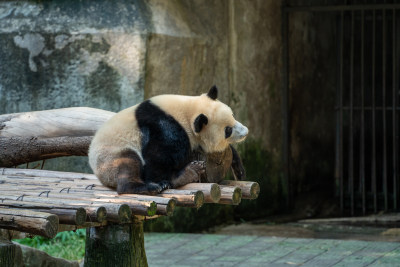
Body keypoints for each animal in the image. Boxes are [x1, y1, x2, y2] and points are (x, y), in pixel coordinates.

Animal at [89, 87, 248, 196]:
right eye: (228, 130)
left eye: (233, 115)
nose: (245, 132)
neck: (187, 112)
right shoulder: (164, 126)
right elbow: (158, 155)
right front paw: (167, 180)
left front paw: (239, 169)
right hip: (110, 154)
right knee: (127, 163)